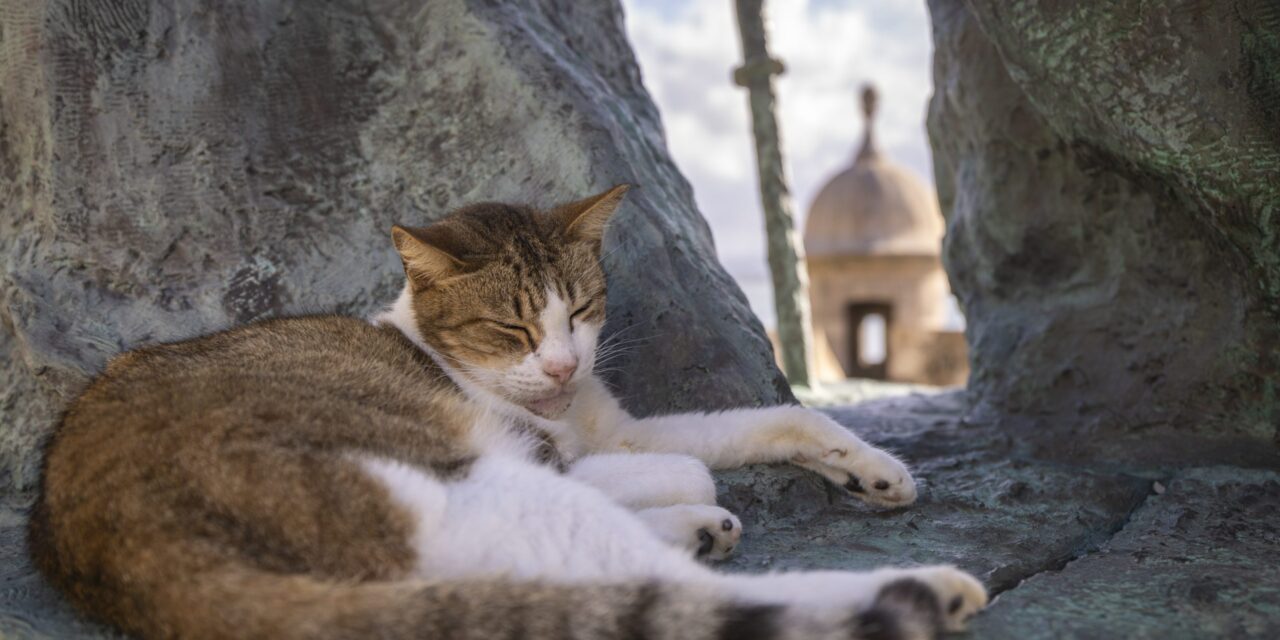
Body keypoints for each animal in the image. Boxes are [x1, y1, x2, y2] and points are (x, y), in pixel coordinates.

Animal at [32, 185, 988, 640]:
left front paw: (874, 469)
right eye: (511, 327)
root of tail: (129, 558)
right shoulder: (552, 450)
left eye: (584, 309)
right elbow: (691, 463)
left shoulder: (614, 425)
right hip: (449, 481)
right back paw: (926, 589)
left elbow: (765, 422)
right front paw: (692, 503)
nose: (563, 362)